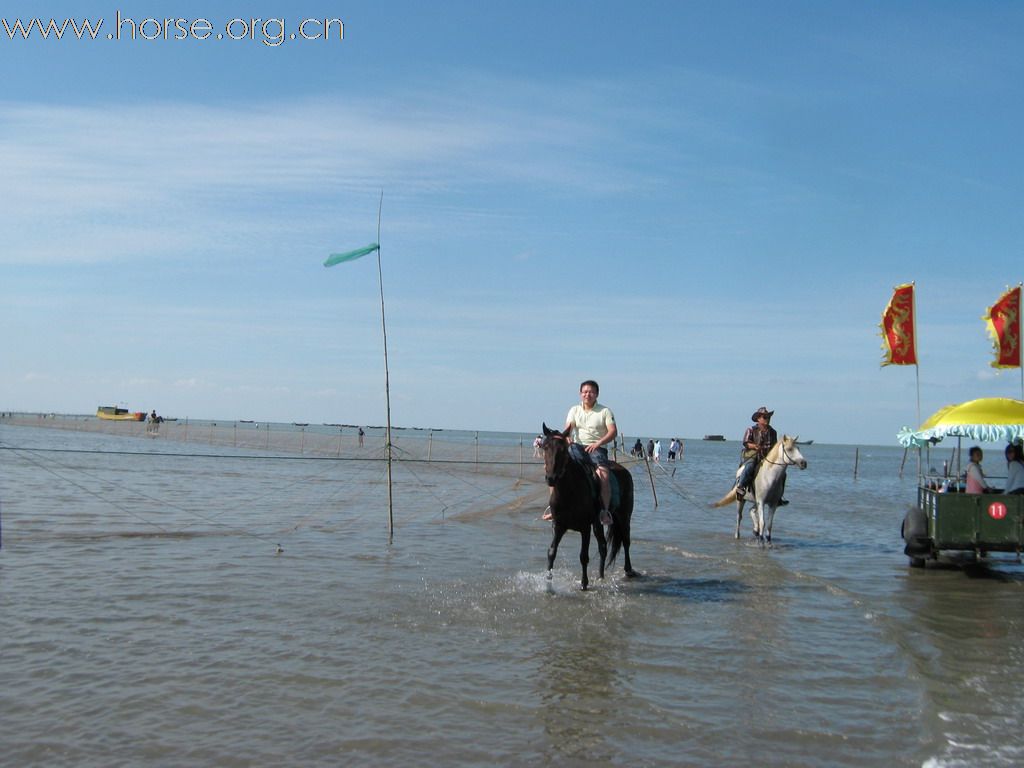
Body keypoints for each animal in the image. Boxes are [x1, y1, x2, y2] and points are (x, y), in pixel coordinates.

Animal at [540, 423, 634, 593]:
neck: (570, 491)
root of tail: (623, 470)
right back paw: (601, 576)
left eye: (563, 449)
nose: (551, 478)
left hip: (624, 517)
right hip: (597, 523)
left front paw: (584, 584)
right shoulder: (558, 526)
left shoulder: (585, 528)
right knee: (603, 546)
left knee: (626, 541)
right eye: (545, 447)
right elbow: (551, 552)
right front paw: (548, 584)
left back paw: (628, 570)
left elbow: (583, 556)